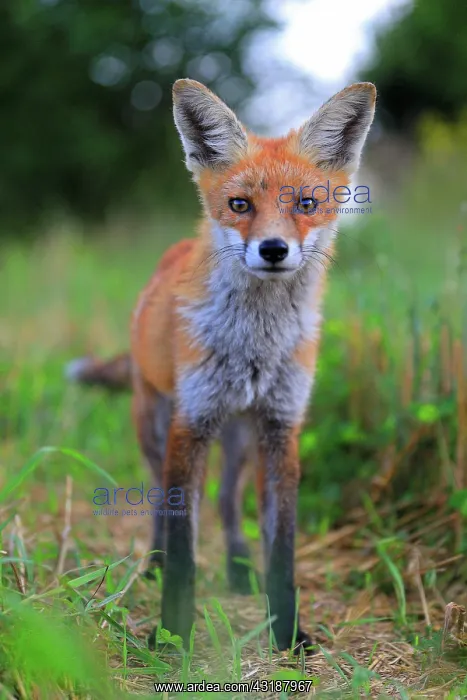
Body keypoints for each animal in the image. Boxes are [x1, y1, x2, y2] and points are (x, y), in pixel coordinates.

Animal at [66, 78, 376, 653]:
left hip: (239, 440)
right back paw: (153, 564)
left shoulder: (281, 427)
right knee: (159, 504)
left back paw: (237, 568)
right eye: (239, 204)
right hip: (155, 424)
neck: (254, 346)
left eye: (305, 203)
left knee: (230, 505)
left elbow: (282, 549)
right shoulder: (191, 424)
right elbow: (184, 549)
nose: (273, 249)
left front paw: (288, 632)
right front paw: (172, 634)